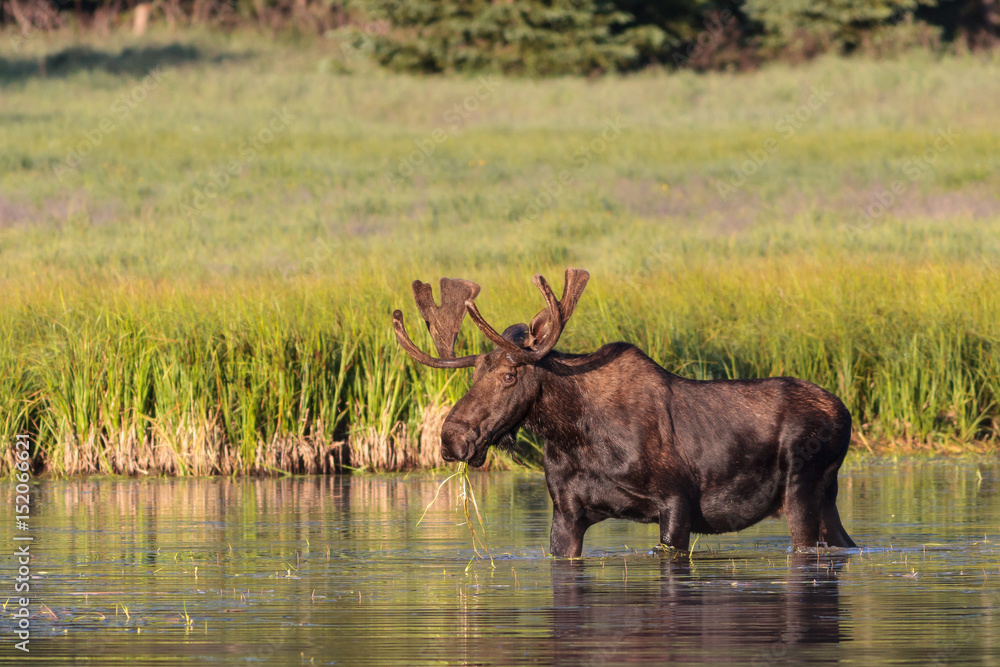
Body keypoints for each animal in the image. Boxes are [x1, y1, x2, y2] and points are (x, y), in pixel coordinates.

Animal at [391, 268, 857, 558]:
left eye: (509, 375)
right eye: (474, 375)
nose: (452, 437)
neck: (576, 437)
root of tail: (846, 413)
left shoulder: (676, 502)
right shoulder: (566, 513)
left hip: (801, 488)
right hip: (827, 496)